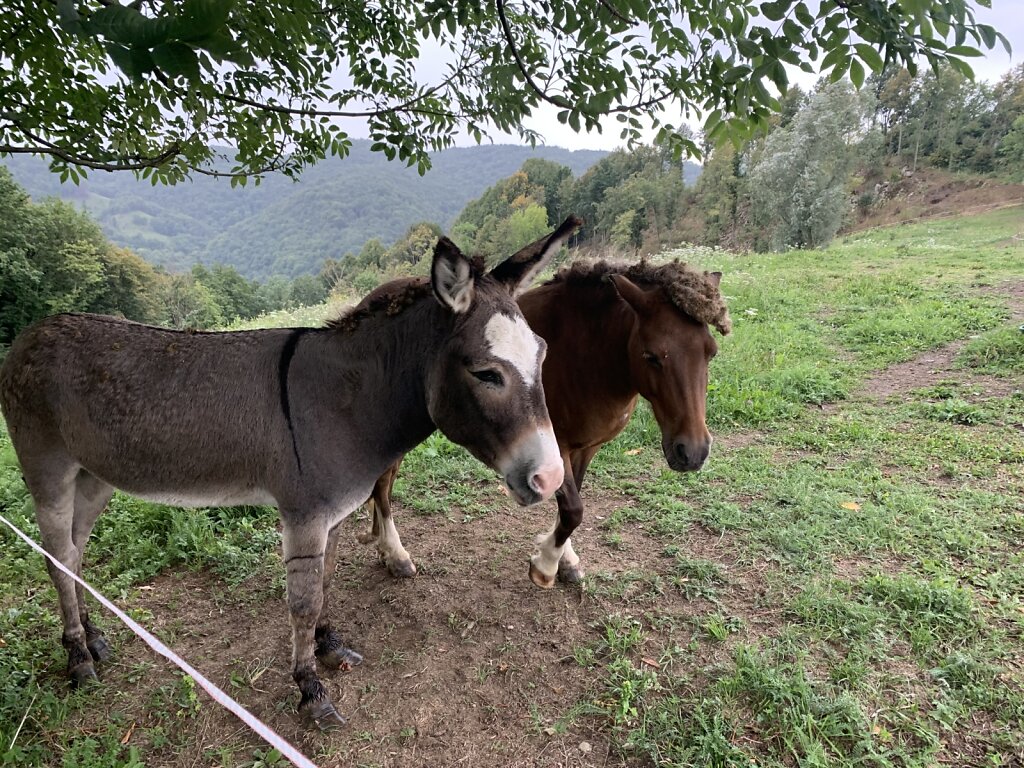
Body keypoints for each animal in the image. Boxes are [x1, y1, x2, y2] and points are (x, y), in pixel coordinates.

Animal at [358, 259, 729, 589]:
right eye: (651, 356)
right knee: (383, 487)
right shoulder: (556, 446)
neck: (585, 352)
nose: (692, 451)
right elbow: (573, 509)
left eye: (711, 352)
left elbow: (572, 504)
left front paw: (566, 559)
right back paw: (395, 554)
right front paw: (546, 564)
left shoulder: (584, 448)